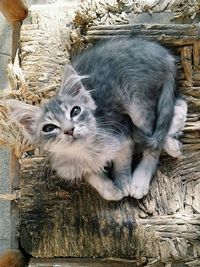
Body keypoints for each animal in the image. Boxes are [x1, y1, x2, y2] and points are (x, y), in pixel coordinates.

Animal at [6, 37, 188, 201]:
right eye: (49, 128)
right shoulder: (71, 167)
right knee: (178, 106)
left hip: (137, 107)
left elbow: (122, 163)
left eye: (75, 111)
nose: (69, 130)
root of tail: (164, 54)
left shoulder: (122, 135)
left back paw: (143, 177)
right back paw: (172, 142)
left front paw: (124, 182)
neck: (86, 150)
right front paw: (111, 190)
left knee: (155, 141)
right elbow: (92, 176)